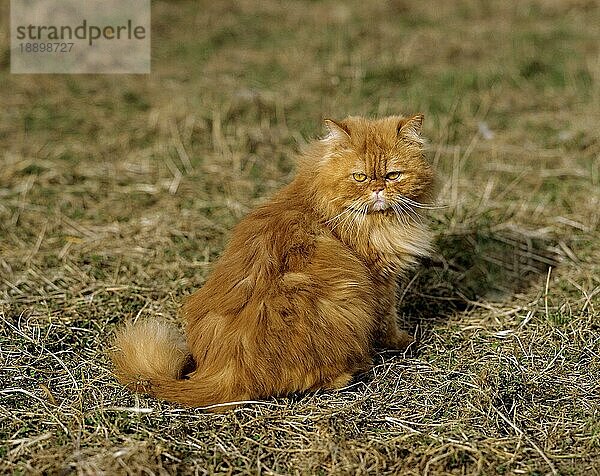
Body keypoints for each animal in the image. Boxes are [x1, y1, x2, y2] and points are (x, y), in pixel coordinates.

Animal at [111, 114, 436, 410]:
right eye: (360, 177)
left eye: (393, 175)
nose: (378, 190)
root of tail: (222, 372)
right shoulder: (379, 279)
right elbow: (387, 320)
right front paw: (403, 342)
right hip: (347, 305)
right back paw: (352, 372)